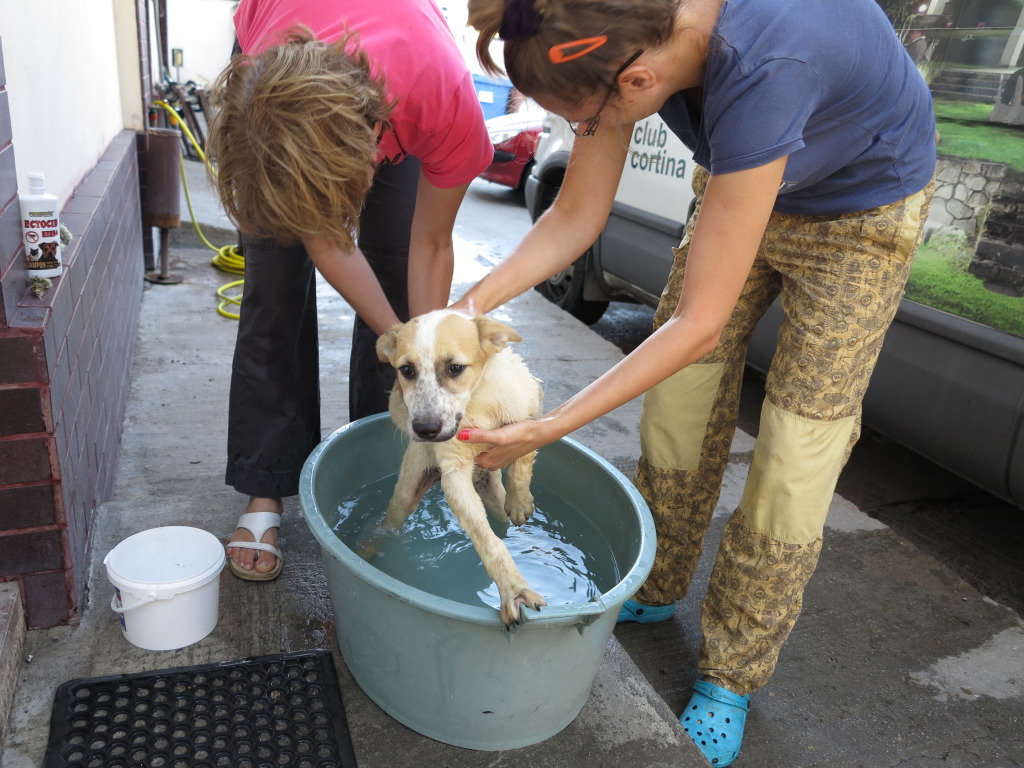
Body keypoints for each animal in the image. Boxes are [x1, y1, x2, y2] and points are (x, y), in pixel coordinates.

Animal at [376, 309, 548, 626]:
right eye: (406, 370)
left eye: (455, 368)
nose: (425, 430)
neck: (477, 406)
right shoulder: (454, 474)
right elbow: (486, 540)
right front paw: (514, 590)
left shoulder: (532, 410)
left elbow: (523, 459)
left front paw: (521, 503)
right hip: (404, 496)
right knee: (385, 527)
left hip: (494, 498)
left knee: (501, 515)